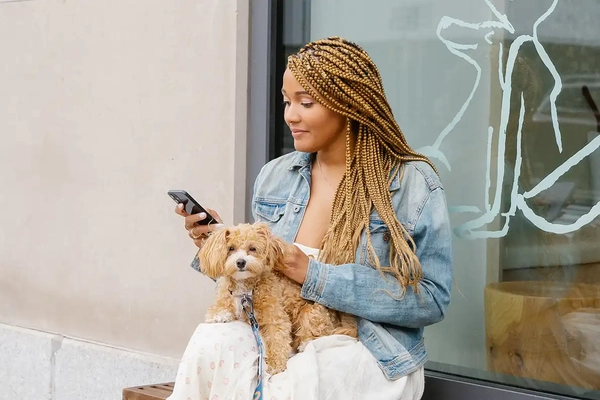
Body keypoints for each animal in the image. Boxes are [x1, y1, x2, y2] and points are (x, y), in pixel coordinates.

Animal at [197, 223, 356, 374]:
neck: (246, 289)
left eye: (252, 248)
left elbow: (277, 339)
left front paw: (275, 365)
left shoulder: (276, 317)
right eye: (231, 248)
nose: (240, 262)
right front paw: (219, 313)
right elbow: (222, 304)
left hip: (312, 312)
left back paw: (305, 343)